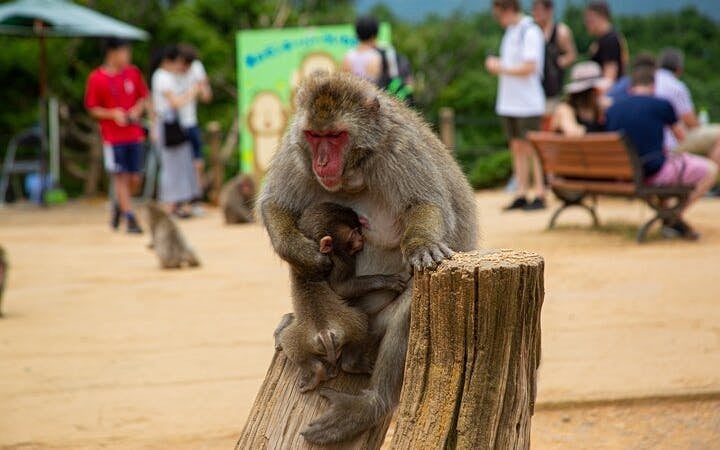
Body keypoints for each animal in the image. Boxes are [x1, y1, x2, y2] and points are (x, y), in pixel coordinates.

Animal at [274, 202, 407, 392]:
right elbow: (342, 288)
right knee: (361, 319)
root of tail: (324, 332)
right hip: (348, 324)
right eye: (353, 234)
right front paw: (388, 281)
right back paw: (350, 365)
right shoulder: (341, 260)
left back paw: (316, 371)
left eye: (358, 230)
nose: (361, 239)